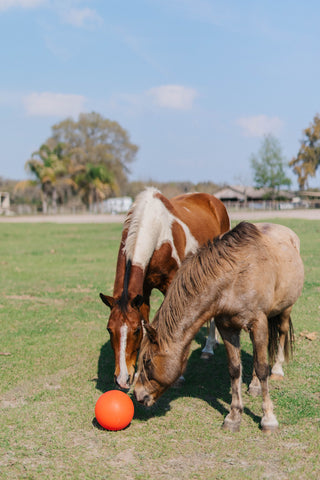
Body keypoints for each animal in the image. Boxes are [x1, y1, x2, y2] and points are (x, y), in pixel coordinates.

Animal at [100, 188, 230, 390]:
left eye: (135, 330)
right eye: (109, 329)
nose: (122, 379)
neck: (155, 231)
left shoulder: (172, 285)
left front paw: (177, 376)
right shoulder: (143, 292)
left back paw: (208, 347)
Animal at [134, 223, 304, 434]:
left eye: (147, 361)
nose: (137, 395)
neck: (234, 278)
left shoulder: (258, 323)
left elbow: (262, 368)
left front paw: (268, 419)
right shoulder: (227, 327)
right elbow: (235, 369)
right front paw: (233, 416)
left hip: (285, 310)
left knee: (280, 335)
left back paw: (277, 370)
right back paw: (254, 385)